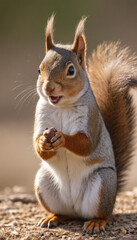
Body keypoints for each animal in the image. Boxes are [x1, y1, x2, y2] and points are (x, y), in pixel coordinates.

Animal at [33, 15, 137, 235]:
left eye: (71, 70)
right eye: (39, 69)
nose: (48, 87)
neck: (62, 106)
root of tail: (76, 209)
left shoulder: (91, 119)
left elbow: (85, 144)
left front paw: (62, 138)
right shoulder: (41, 117)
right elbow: (37, 143)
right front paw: (43, 143)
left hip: (102, 184)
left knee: (103, 214)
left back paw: (96, 222)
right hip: (43, 182)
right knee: (64, 213)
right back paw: (53, 217)